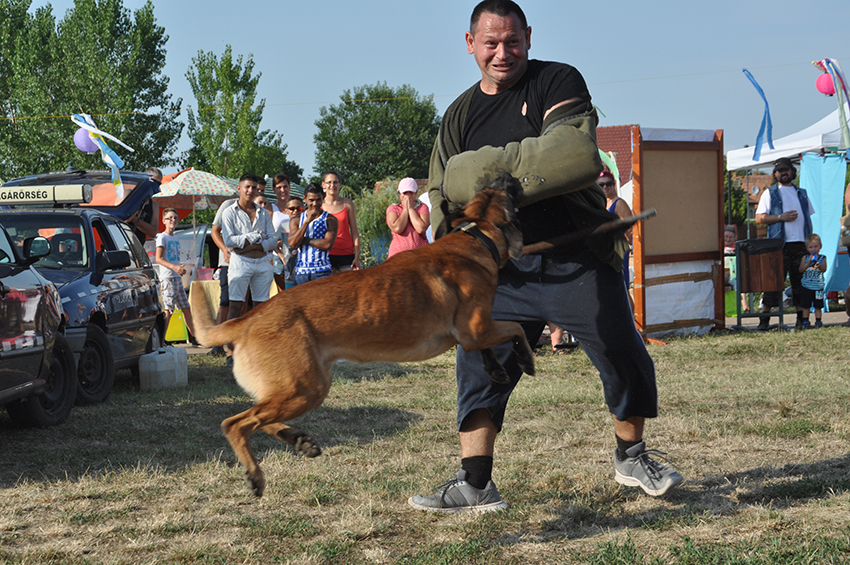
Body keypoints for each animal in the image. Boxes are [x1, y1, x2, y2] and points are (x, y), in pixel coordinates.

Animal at [195, 172, 532, 494]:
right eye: (503, 191)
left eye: (490, 187)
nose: (507, 173)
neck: (478, 234)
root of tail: (249, 317)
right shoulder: (477, 329)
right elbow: (516, 328)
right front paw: (526, 359)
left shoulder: (475, 331)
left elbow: (493, 343)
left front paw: (496, 368)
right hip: (305, 388)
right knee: (236, 423)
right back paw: (255, 473)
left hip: (299, 388)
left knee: (259, 418)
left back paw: (298, 439)